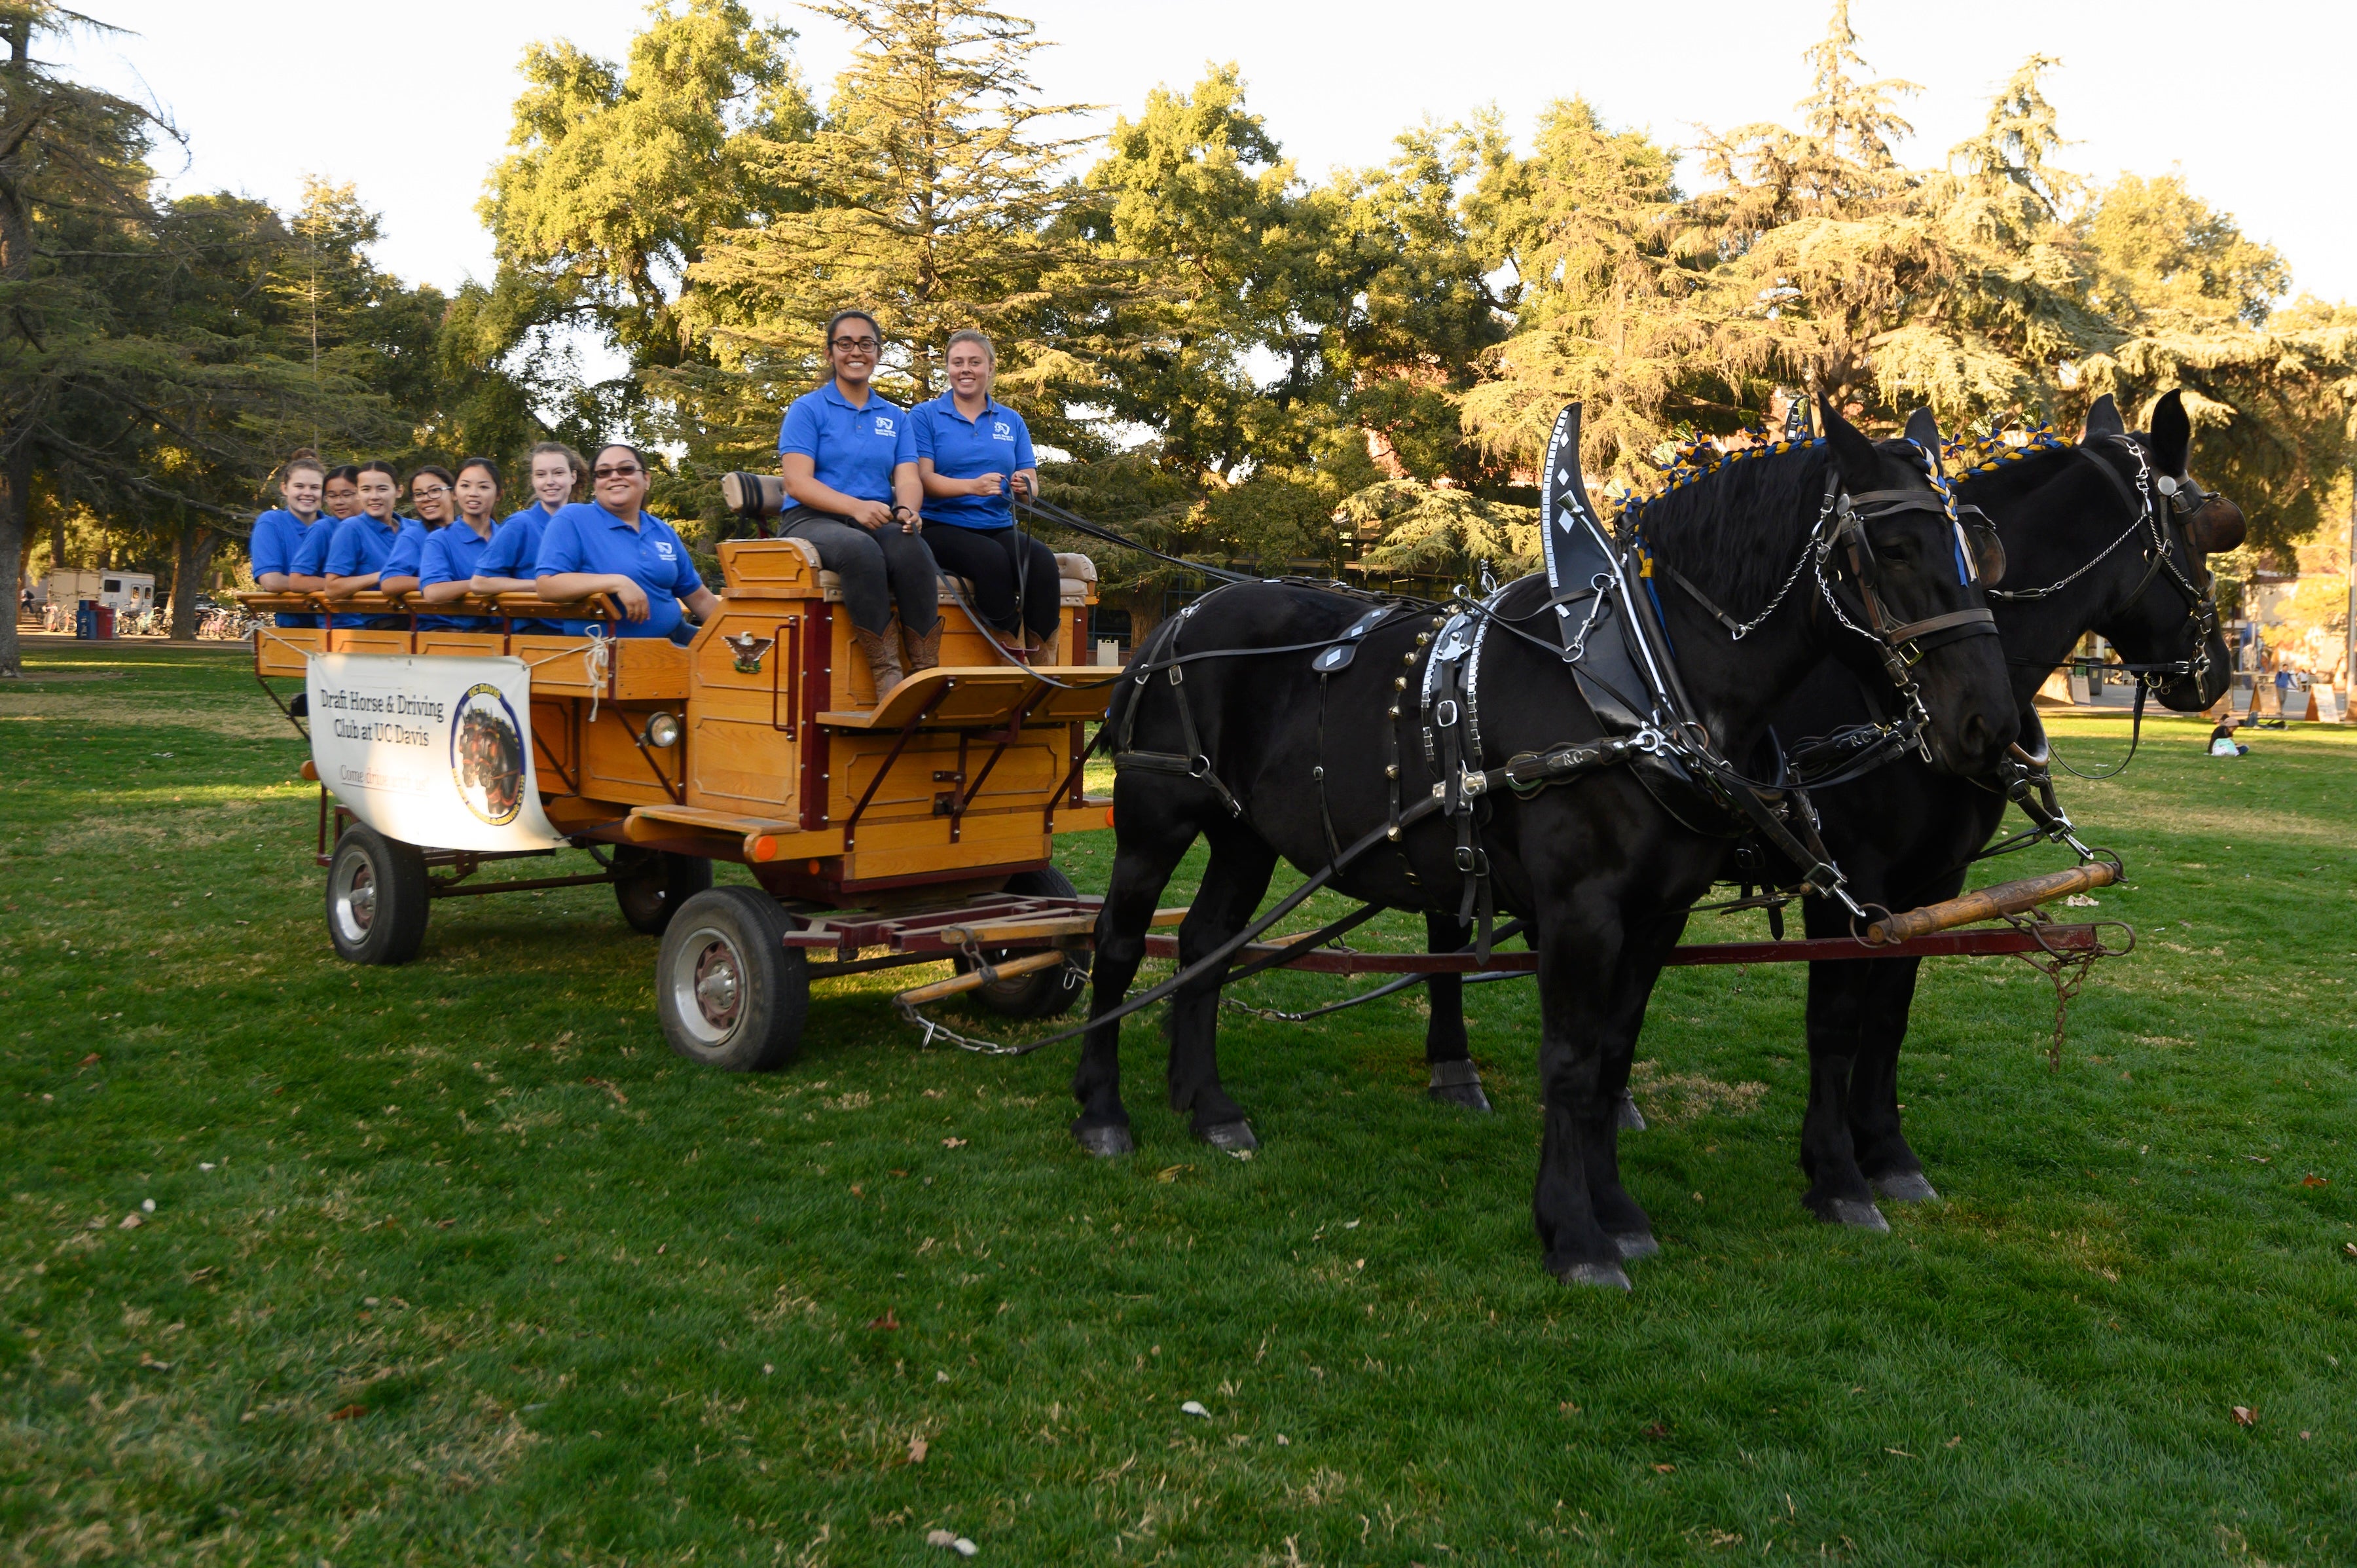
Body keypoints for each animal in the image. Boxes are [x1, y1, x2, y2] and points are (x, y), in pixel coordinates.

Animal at [1078, 401, 2019, 1287]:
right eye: (1893, 548)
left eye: (1981, 550)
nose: (1991, 725)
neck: (1638, 681)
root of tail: (1181, 615)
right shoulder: (1581, 910)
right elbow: (1570, 1062)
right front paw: (1574, 1233)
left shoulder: (1658, 915)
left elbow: (1612, 1056)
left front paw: (1620, 1212)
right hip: (1157, 816)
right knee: (1119, 943)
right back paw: (1103, 1112)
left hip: (1245, 833)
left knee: (1205, 943)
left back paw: (1208, 1105)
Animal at [1412, 390, 2240, 1230]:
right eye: (2205, 531)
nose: (2215, 674)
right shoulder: (1851, 879)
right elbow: (1835, 1022)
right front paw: (1838, 1172)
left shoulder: (1934, 883)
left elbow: (1890, 1015)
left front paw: (1889, 1154)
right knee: (1449, 934)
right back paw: (1455, 1067)